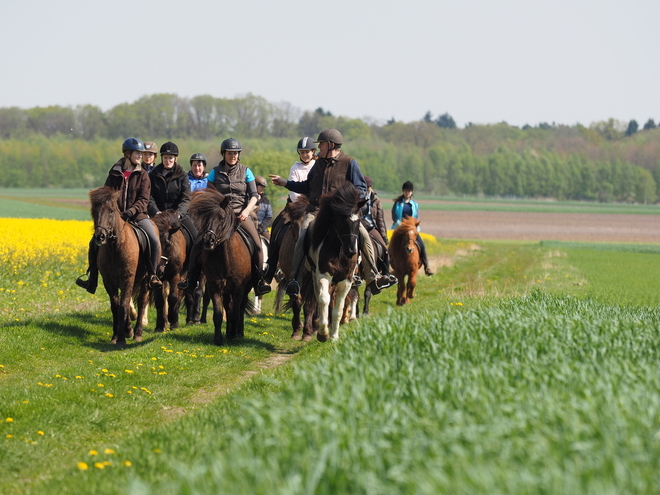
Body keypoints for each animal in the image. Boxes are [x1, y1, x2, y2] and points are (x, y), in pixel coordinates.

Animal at [88, 186, 151, 344]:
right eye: (95, 211)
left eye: (111, 210)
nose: (100, 236)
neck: (115, 248)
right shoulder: (109, 281)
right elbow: (116, 306)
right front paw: (117, 335)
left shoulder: (127, 279)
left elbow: (123, 305)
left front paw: (122, 338)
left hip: (145, 280)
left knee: (142, 301)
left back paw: (138, 333)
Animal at [191, 186, 255, 344]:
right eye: (206, 218)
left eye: (221, 218)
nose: (208, 240)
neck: (226, 258)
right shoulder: (215, 286)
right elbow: (219, 315)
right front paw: (219, 339)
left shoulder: (239, 288)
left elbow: (235, 314)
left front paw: (233, 336)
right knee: (228, 306)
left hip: (246, 287)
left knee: (240, 308)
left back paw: (238, 332)